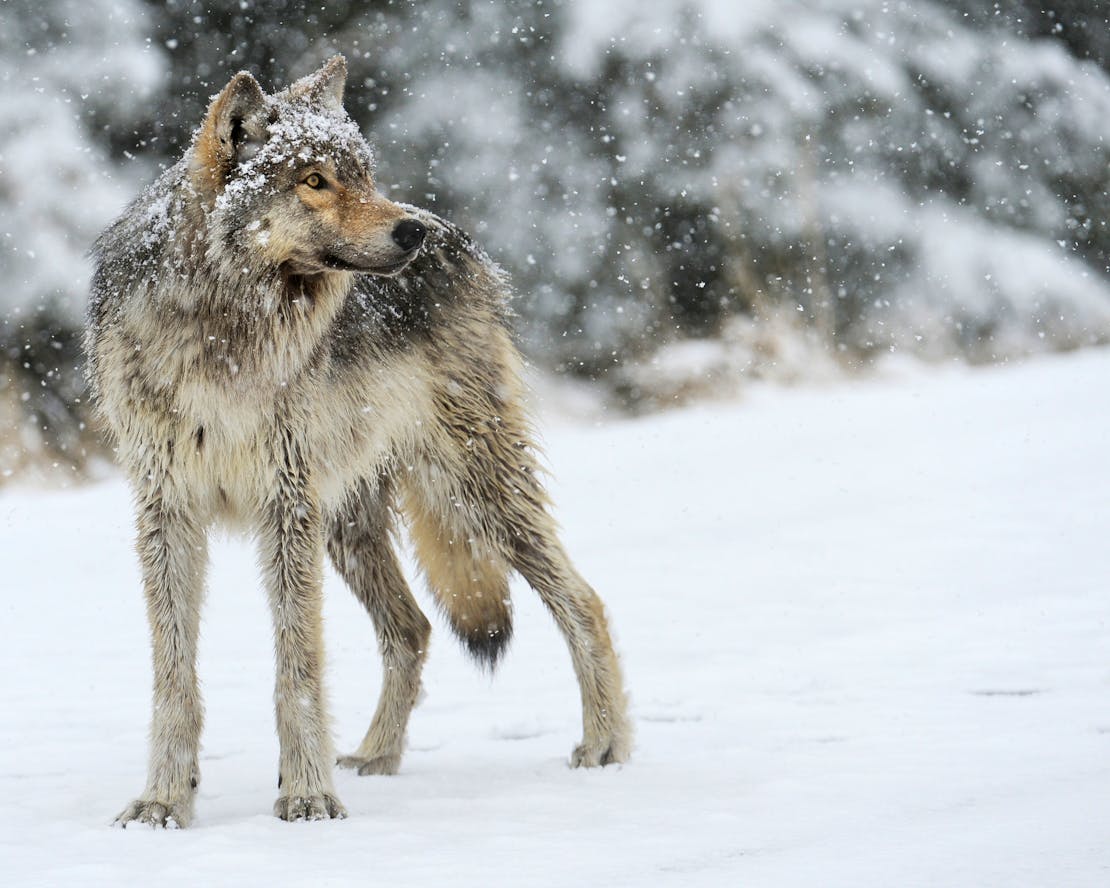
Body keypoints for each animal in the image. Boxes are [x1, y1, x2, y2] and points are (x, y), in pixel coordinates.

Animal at [85, 56, 630, 827]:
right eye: (314, 180)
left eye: (364, 175)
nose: (410, 234)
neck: (224, 334)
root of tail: (461, 239)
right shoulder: (169, 512)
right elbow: (174, 678)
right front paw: (163, 802)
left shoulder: (285, 506)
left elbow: (298, 669)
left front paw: (307, 795)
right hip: (349, 522)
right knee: (413, 628)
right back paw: (377, 757)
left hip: (473, 490)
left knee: (583, 601)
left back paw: (606, 744)